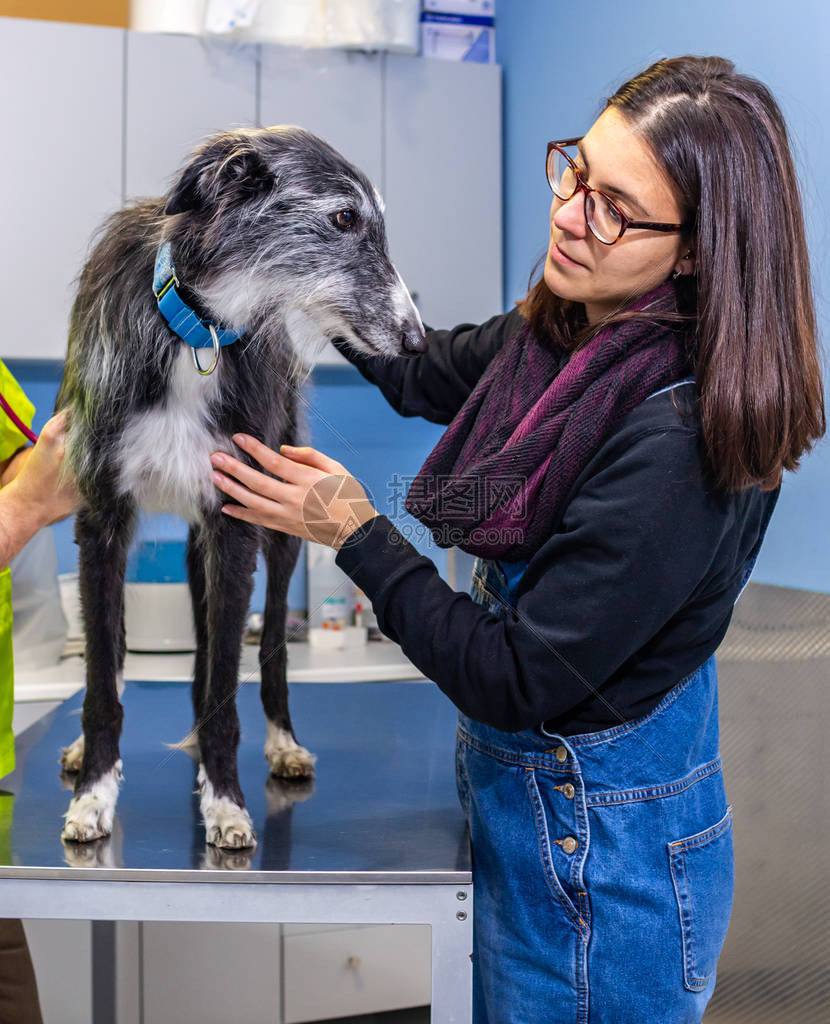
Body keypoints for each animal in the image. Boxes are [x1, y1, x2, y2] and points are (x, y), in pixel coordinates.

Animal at [55, 125, 425, 847]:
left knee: (269, 647)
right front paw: (94, 793)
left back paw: (278, 743)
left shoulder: (234, 523)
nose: (419, 341)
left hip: (276, 533)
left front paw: (224, 800)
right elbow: (102, 678)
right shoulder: (102, 521)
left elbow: (227, 683)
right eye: (345, 219)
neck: (194, 331)